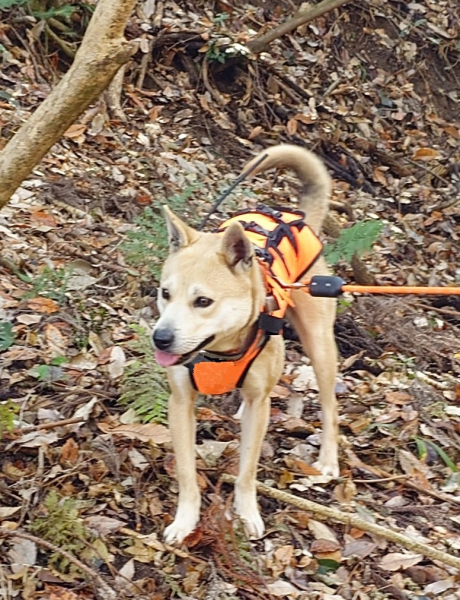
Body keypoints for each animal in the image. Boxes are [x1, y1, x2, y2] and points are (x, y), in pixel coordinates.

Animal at [152, 144, 339, 544]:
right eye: (165, 293)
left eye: (202, 301)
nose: (161, 338)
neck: (220, 351)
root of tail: (299, 219)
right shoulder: (181, 402)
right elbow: (187, 472)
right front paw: (185, 520)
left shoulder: (259, 407)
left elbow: (247, 469)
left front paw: (246, 513)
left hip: (319, 345)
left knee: (330, 405)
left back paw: (329, 458)